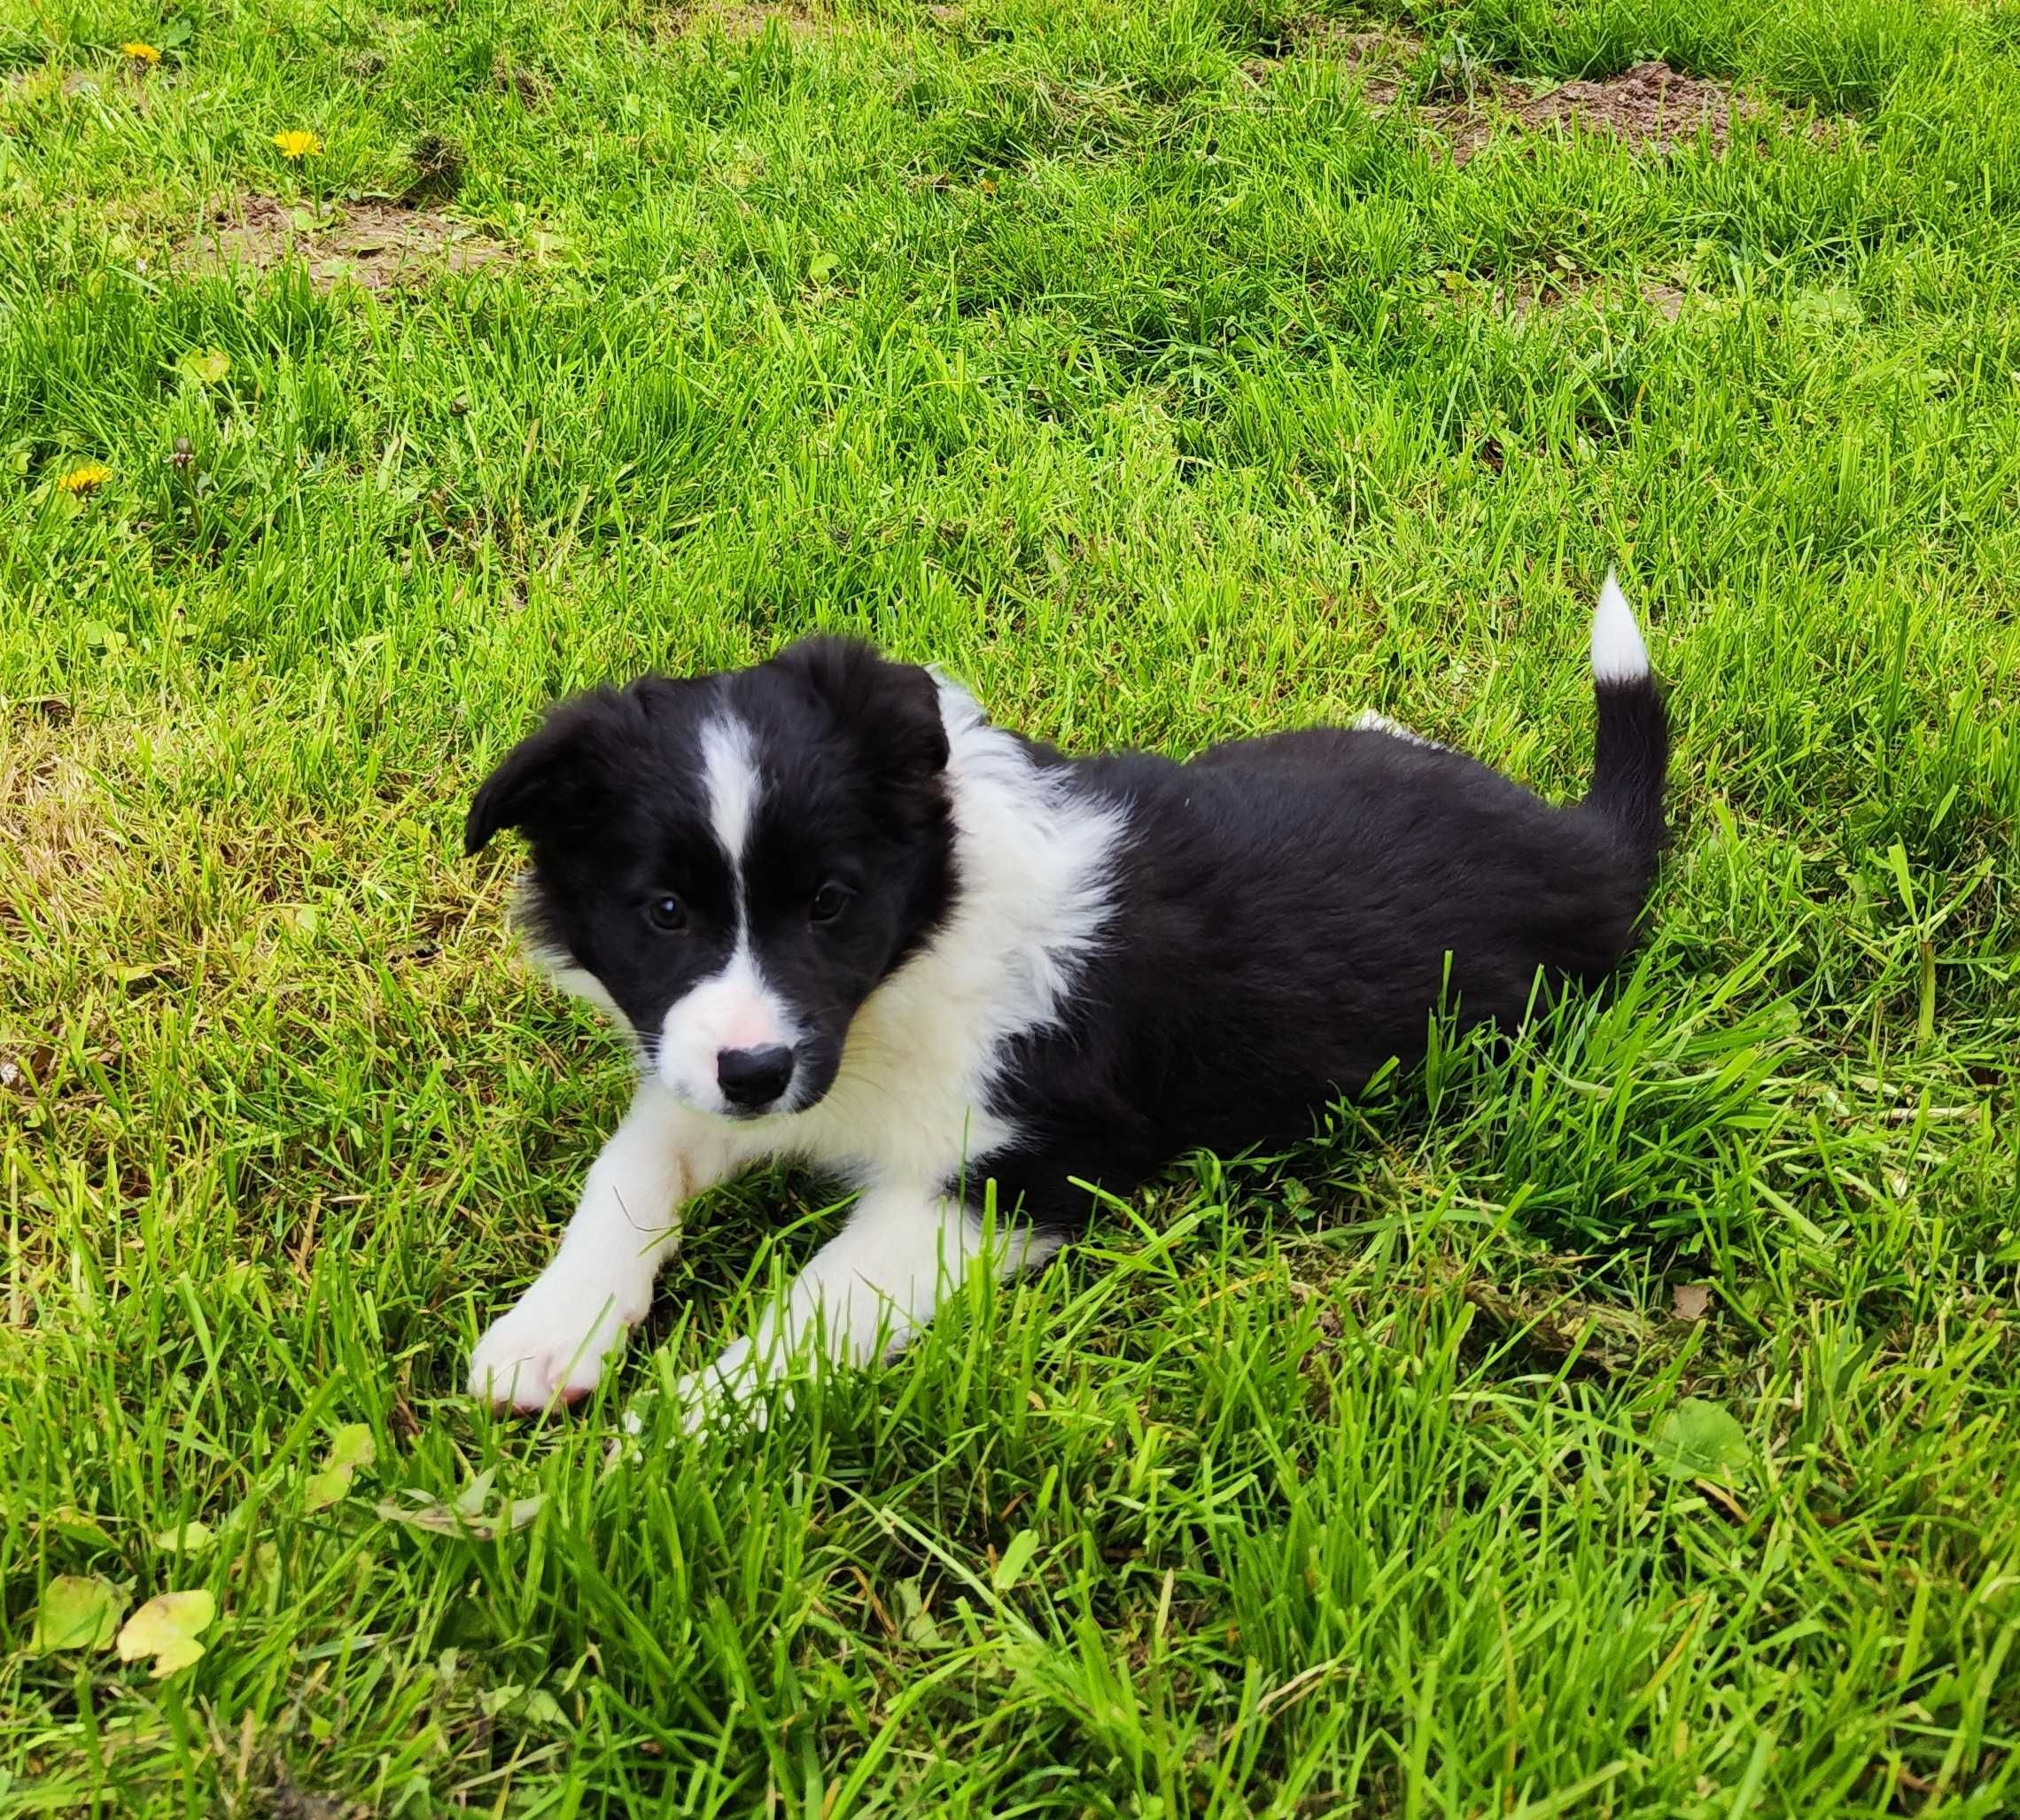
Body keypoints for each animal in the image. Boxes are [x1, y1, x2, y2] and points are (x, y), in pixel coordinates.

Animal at [464, 581, 1664, 1421]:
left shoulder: (1004, 1178)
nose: (758, 1077)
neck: (914, 948)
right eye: (665, 911)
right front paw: (548, 1335)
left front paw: (660, 1441)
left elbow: (813, 1311)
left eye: (831, 903)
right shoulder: (715, 1065)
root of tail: (1583, 847)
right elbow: (628, 1170)